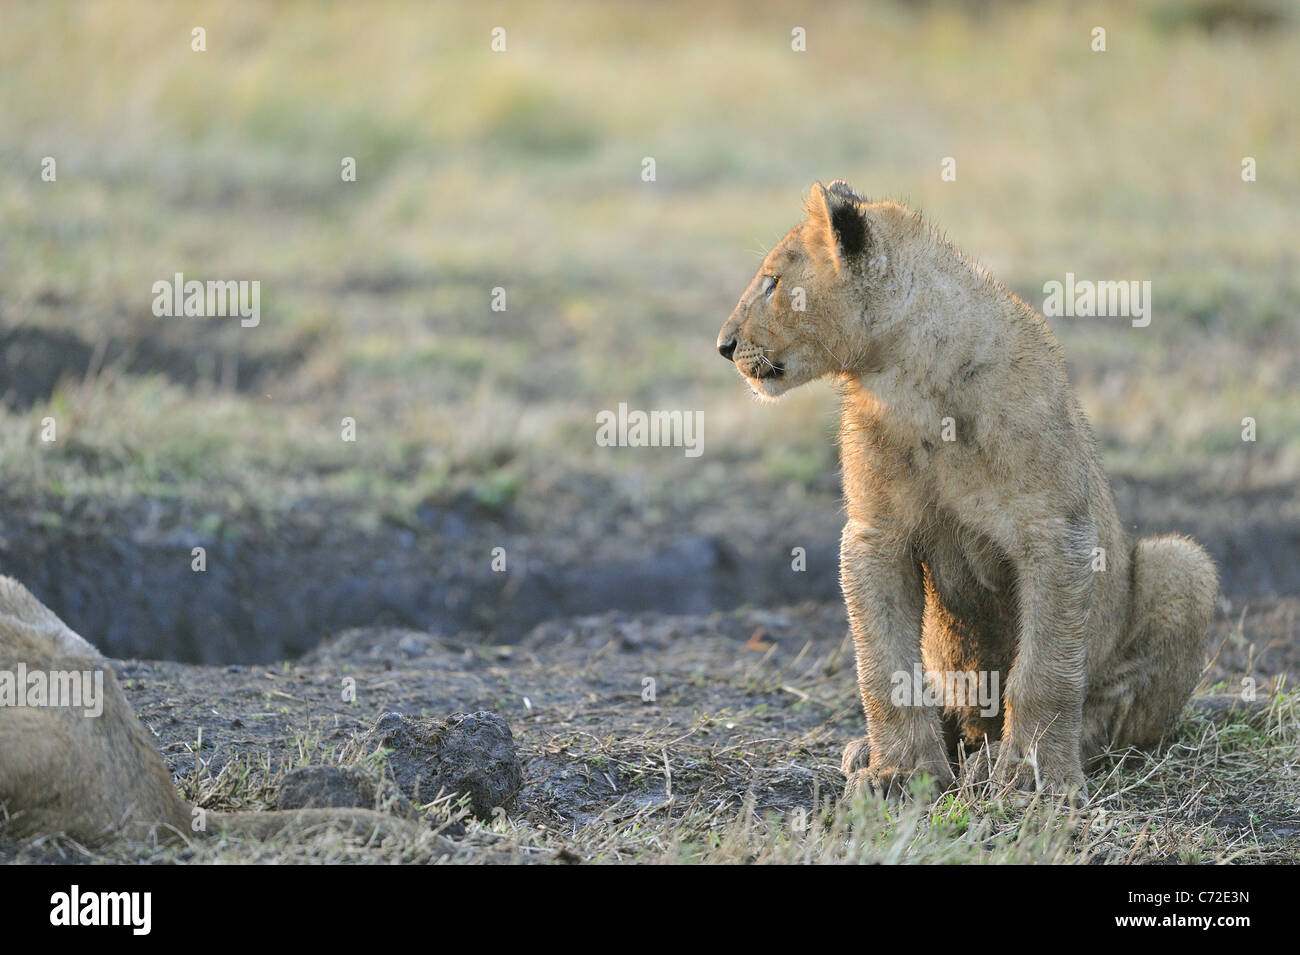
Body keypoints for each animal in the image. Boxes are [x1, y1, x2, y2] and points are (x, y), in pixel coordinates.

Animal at [716, 181, 1220, 798]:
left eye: (771, 282)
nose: (724, 345)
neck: (906, 378)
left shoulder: (1056, 532)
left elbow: (1046, 670)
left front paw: (1033, 774)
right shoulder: (875, 537)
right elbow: (884, 668)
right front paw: (901, 772)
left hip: (1183, 565)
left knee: (1112, 713)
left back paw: (1011, 754)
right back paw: (875, 751)